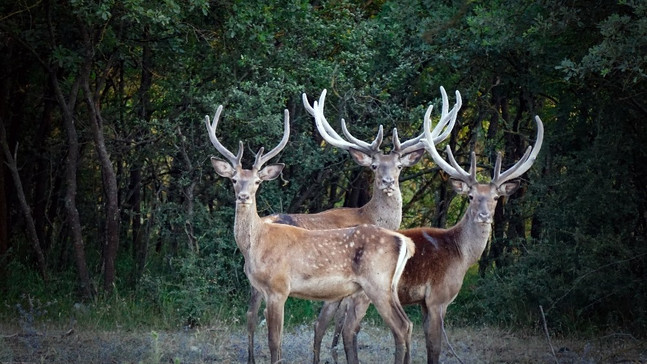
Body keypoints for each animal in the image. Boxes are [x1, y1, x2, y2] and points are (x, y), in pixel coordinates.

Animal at [208, 105, 420, 364]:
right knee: (407, 324)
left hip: (376, 282)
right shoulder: (264, 288)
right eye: (234, 180)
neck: (257, 245)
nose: (243, 197)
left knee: (399, 326)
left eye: (257, 181)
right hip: (387, 287)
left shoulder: (279, 287)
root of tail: (405, 241)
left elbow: (274, 342)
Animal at [238, 87, 460, 364]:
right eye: (374, 166)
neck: (368, 215)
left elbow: (330, 326)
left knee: (250, 315)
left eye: (399, 166)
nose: (387, 182)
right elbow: (338, 327)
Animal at [316, 111, 544, 364]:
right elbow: (434, 347)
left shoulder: (424, 303)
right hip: (366, 292)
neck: (460, 255)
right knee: (348, 329)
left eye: (495, 197)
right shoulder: (437, 298)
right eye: (471, 196)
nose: (484, 216)